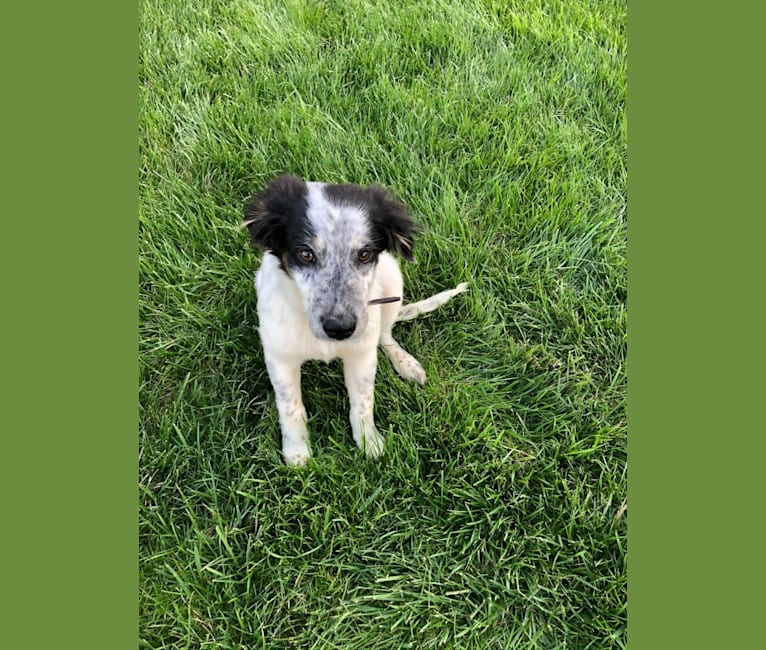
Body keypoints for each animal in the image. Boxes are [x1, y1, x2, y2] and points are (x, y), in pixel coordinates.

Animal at [244, 175, 468, 464]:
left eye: (364, 254)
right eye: (306, 254)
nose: (340, 329)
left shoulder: (361, 356)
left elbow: (363, 402)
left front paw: (369, 442)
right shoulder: (280, 358)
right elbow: (290, 406)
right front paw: (297, 452)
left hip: (392, 280)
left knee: (385, 335)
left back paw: (406, 363)